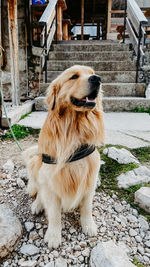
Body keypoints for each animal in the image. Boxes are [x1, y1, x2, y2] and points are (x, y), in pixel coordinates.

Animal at [22, 65, 105, 249]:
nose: (97, 78)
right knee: (39, 191)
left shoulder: (89, 179)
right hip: (35, 163)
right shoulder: (51, 182)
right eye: (74, 76)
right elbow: (54, 214)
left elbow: (87, 207)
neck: (74, 130)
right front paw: (53, 236)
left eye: (92, 73)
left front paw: (88, 225)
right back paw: (37, 204)